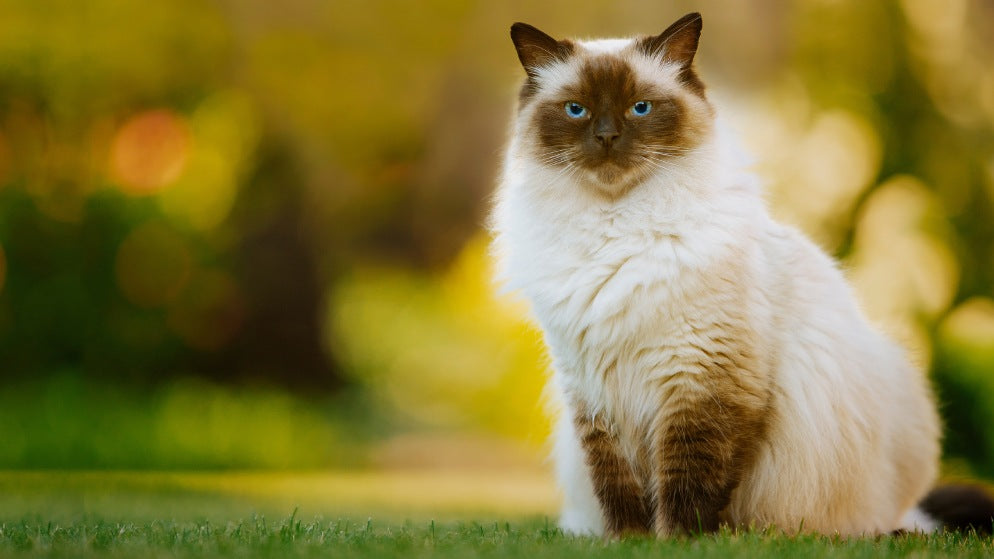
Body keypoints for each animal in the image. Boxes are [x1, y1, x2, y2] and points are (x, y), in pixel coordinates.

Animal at [488, 12, 992, 540]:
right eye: (577, 110)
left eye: (640, 108)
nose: (606, 137)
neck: (614, 226)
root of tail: (904, 513)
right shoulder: (594, 394)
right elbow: (617, 488)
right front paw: (626, 542)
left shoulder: (702, 380)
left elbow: (689, 481)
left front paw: (674, 543)